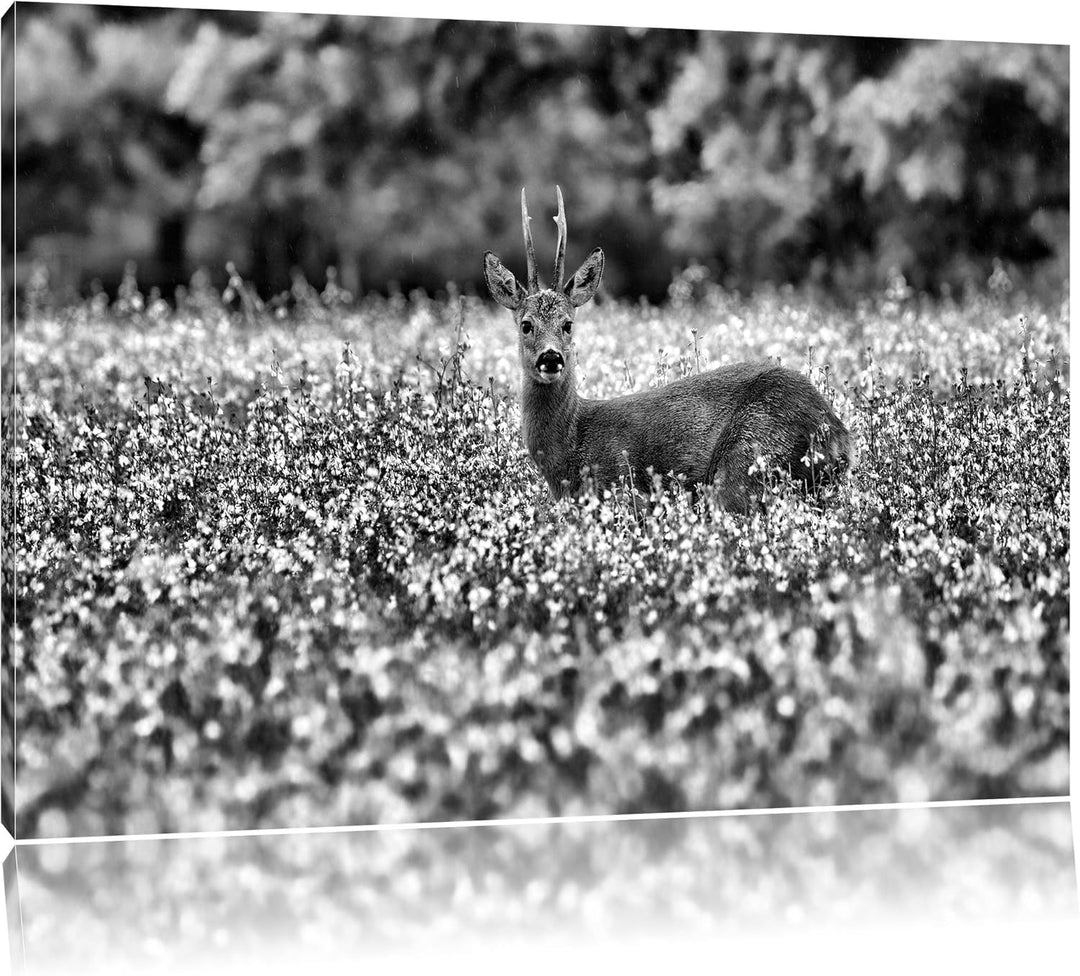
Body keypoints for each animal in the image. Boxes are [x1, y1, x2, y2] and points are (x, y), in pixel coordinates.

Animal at [482, 187, 851, 512]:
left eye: (568, 324)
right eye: (526, 324)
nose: (551, 357)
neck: (570, 448)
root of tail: (838, 435)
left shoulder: (623, 488)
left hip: (747, 460)